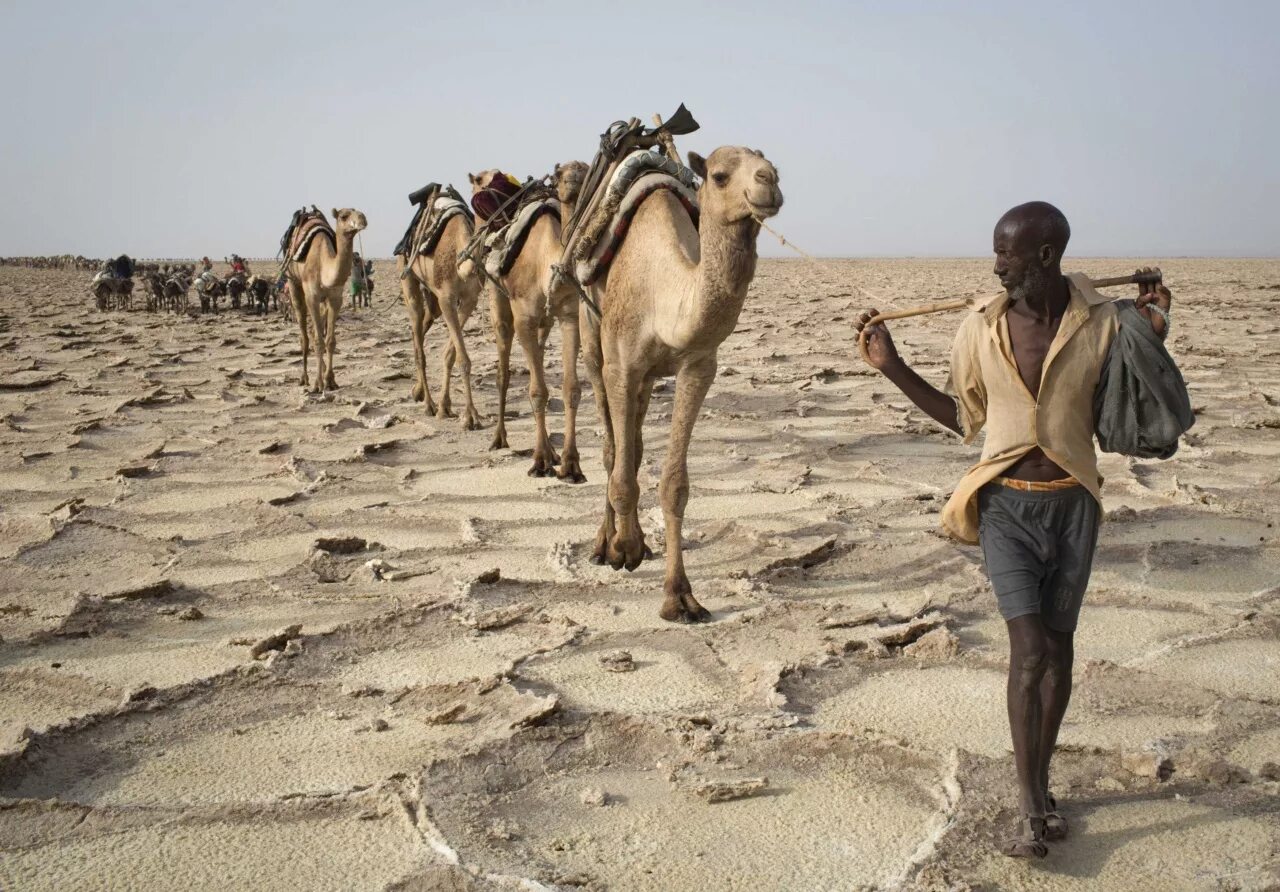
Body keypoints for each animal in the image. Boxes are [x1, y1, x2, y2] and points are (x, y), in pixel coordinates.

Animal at [288, 208, 368, 394]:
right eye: (344, 216)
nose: (362, 219)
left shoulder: (335, 298)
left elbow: (330, 341)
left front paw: (330, 381)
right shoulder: (312, 297)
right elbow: (318, 341)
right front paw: (318, 383)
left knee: (314, 332)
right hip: (293, 284)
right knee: (305, 335)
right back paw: (304, 378)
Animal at [396, 191, 481, 427]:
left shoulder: (470, 299)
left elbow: (450, 354)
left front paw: (446, 406)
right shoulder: (446, 298)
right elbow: (462, 358)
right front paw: (470, 415)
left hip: (433, 299)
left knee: (421, 327)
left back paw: (418, 392)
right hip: (408, 277)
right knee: (418, 341)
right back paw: (428, 404)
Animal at [486, 159, 591, 481]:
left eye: (586, 168)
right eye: (559, 174)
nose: (574, 179)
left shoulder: (569, 316)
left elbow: (571, 389)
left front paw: (570, 465)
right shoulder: (525, 317)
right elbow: (536, 391)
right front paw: (541, 461)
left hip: (545, 322)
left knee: (541, 356)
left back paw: (554, 452)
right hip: (499, 300)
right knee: (504, 369)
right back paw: (499, 438)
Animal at [581, 145, 778, 619]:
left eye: (775, 168)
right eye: (720, 176)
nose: (769, 182)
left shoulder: (697, 366)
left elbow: (674, 484)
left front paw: (680, 596)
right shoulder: (621, 364)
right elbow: (618, 467)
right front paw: (624, 548)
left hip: (648, 379)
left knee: (633, 445)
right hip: (590, 338)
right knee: (612, 448)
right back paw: (604, 544)